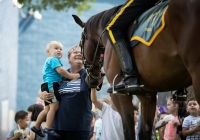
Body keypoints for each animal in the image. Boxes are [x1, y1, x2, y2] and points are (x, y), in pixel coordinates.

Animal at [72, 0, 200, 139]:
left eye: (80, 45)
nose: (91, 80)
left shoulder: (120, 95)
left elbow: (128, 131)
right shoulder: (147, 95)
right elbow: (145, 131)